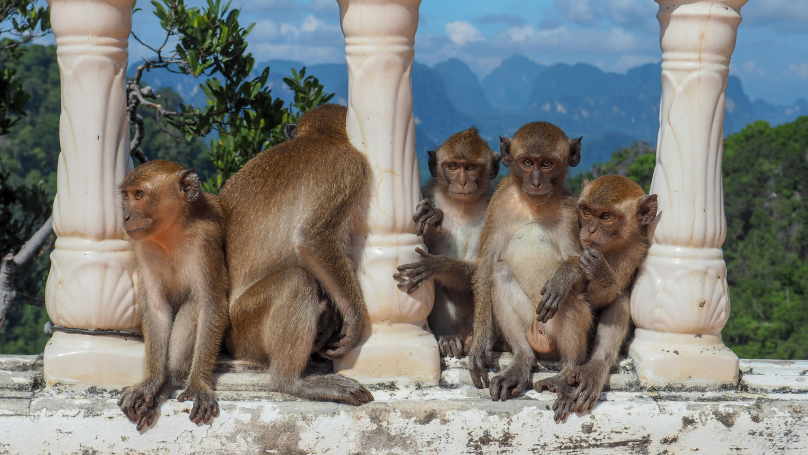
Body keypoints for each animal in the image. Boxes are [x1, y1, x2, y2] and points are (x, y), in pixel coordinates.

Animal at [116, 160, 229, 431]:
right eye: (126, 196)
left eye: (139, 195)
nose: (125, 216)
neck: (170, 233)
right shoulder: (142, 245)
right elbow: (156, 309)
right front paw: (151, 382)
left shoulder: (205, 240)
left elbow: (211, 305)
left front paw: (198, 384)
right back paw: (161, 385)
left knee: (194, 305)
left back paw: (173, 379)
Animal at [218, 104, 374, 406]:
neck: (321, 136)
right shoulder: (349, 166)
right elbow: (314, 240)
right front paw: (353, 318)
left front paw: (333, 316)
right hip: (245, 328)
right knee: (295, 280)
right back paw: (292, 382)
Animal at [393, 127, 500, 358]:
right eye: (452, 166)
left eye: (470, 167)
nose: (462, 182)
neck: (461, 205)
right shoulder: (426, 194)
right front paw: (434, 215)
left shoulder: (496, 210)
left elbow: (481, 268)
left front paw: (436, 264)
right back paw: (450, 338)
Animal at [468, 121, 592, 402]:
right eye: (526, 162)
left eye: (546, 164)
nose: (536, 183)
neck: (533, 206)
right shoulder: (499, 203)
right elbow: (486, 266)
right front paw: (479, 346)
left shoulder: (571, 211)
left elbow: (582, 272)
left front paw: (563, 276)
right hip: (530, 322)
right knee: (500, 273)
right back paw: (522, 360)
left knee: (567, 297)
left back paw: (566, 372)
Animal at [535, 175, 657, 421]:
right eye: (587, 212)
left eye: (606, 217)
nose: (590, 230)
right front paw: (568, 272)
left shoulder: (632, 253)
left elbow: (607, 296)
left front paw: (597, 272)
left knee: (621, 300)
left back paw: (596, 365)